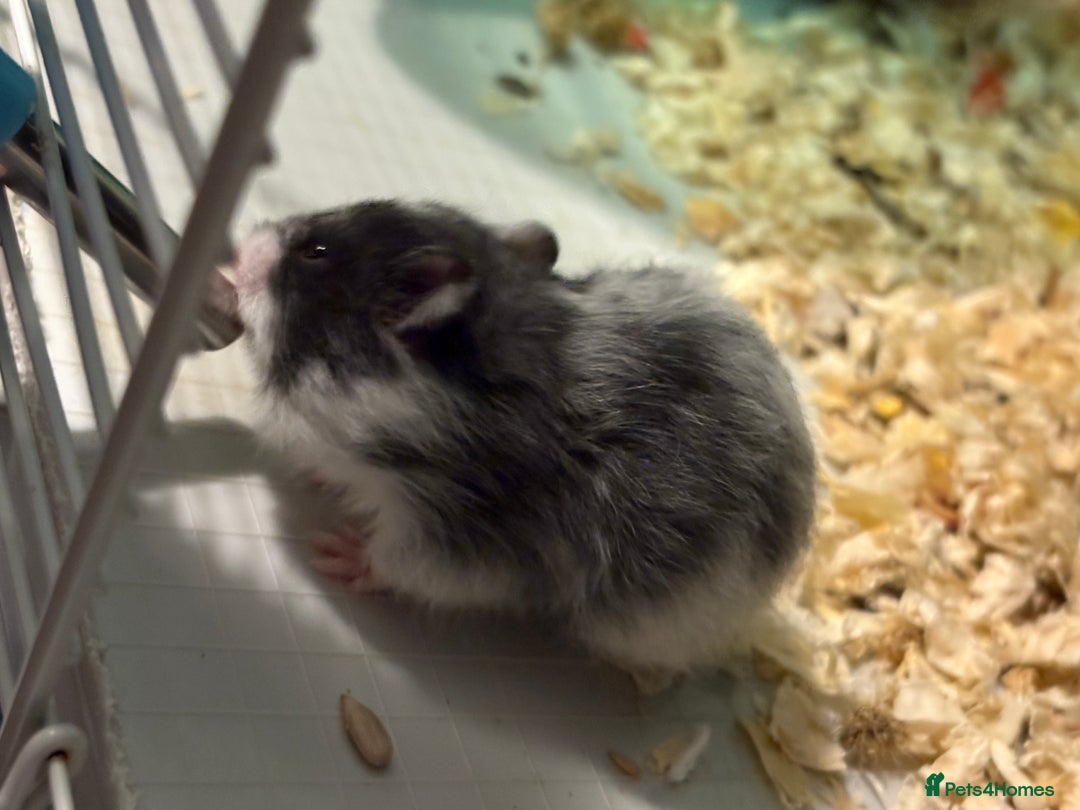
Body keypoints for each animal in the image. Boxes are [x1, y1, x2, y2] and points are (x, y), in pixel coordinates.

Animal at [232, 199, 816, 691]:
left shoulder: (456, 541)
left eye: (315, 252)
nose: (239, 247)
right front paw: (313, 474)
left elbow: (392, 561)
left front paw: (335, 551)